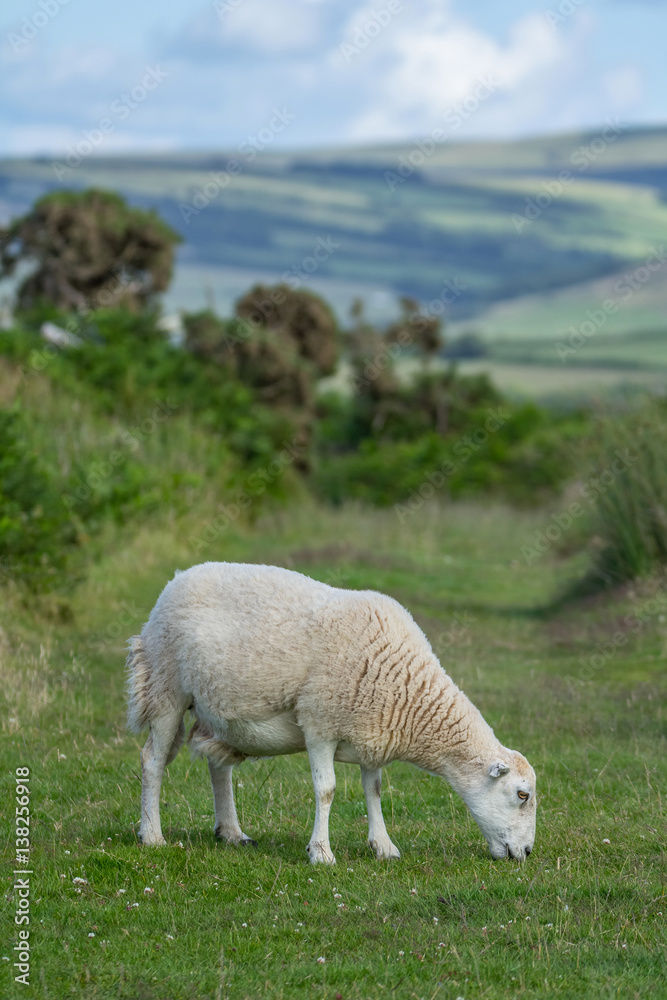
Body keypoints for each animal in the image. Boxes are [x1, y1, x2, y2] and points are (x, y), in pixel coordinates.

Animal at [127, 562, 536, 863]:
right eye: (522, 794)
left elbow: (374, 790)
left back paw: (231, 832)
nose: (527, 852)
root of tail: (179, 576)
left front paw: (383, 846)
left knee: (218, 766)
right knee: (153, 760)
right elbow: (326, 790)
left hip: (220, 711)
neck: (409, 693)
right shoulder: (320, 725)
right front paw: (321, 852)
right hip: (164, 685)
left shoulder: (372, 732)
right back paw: (152, 835)